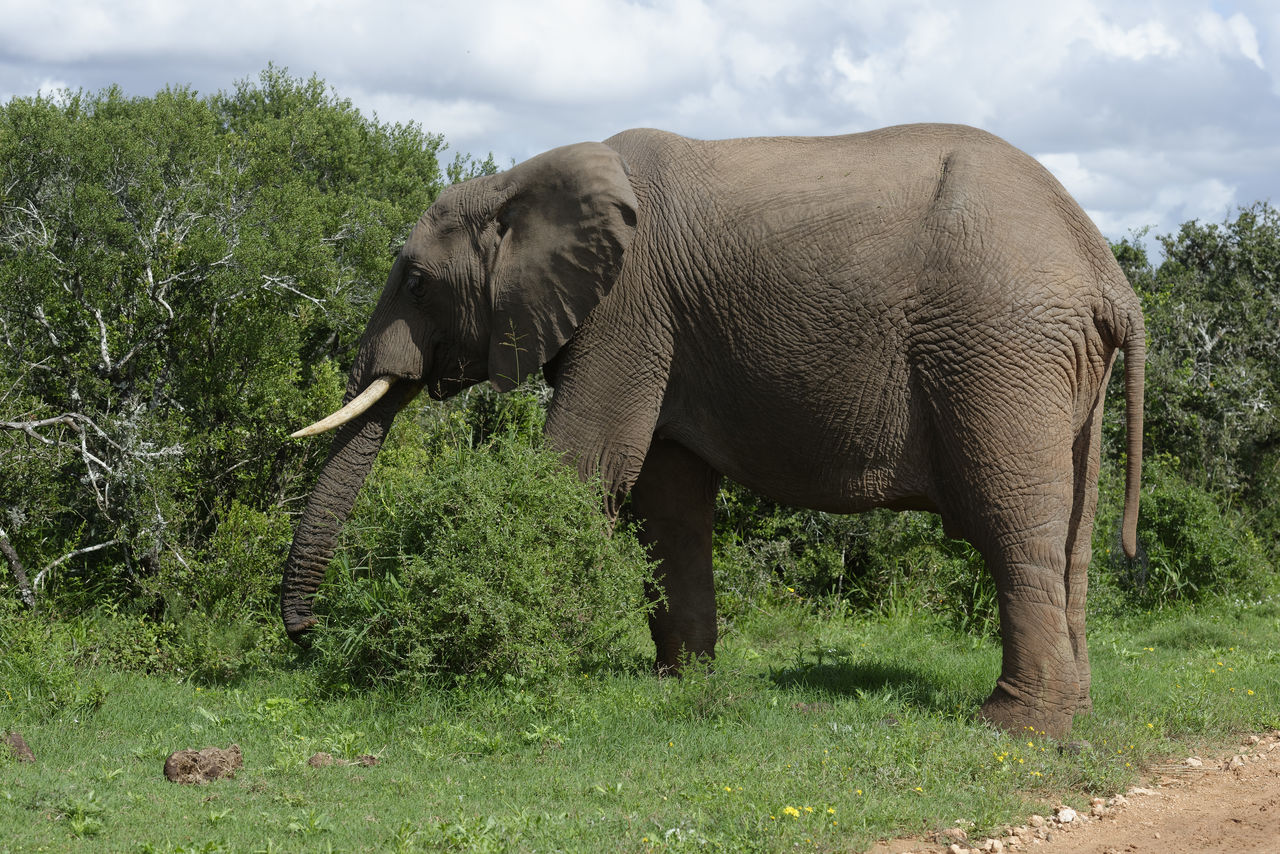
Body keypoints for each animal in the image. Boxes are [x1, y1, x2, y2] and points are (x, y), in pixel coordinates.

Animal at [285, 121, 1146, 742]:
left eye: (416, 280)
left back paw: (1014, 726)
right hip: (1061, 370)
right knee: (1072, 541)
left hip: (1000, 352)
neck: (518, 179)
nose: (307, 636)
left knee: (1013, 526)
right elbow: (669, 499)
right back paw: (1076, 712)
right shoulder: (663, 331)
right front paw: (682, 683)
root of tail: (1109, 274)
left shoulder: (627, 309)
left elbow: (585, 469)